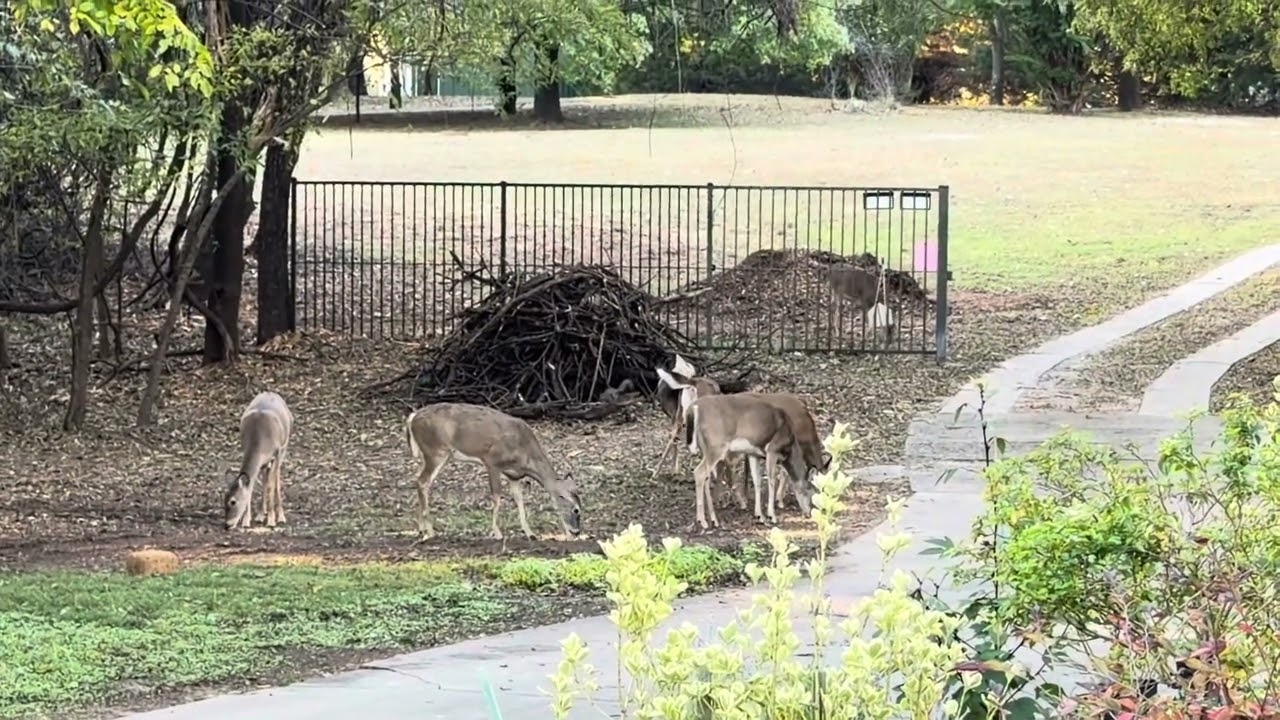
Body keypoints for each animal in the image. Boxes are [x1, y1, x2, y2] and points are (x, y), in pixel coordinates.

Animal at [223, 391, 294, 531]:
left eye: (233, 501)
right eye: (224, 498)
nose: (227, 525)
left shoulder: (277, 452)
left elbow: (272, 484)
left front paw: (271, 520)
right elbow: (253, 485)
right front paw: (247, 520)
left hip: (284, 448)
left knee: (276, 478)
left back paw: (280, 516)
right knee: (266, 478)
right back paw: (261, 513)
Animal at [405, 402, 582, 541]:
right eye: (576, 510)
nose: (576, 532)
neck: (525, 456)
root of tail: (412, 417)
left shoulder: (514, 475)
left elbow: (519, 500)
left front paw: (530, 533)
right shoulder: (492, 462)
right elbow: (496, 497)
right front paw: (497, 533)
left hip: (433, 455)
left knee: (419, 479)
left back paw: (421, 528)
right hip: (436, 451)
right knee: (423, 481)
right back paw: (430, 531)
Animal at [684, 392, 821, 529]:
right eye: (811, 491)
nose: (809, 513)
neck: (790, 447)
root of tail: (693, 408)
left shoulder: (753, 454)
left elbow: (757, 481)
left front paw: (760, 515)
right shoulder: (772, 449)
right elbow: (771, 480)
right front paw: (772, 516)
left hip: (706, 448)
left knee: (706, 477)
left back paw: (714, 519)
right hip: (716, 445)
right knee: (699, 472)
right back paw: (702, 521)